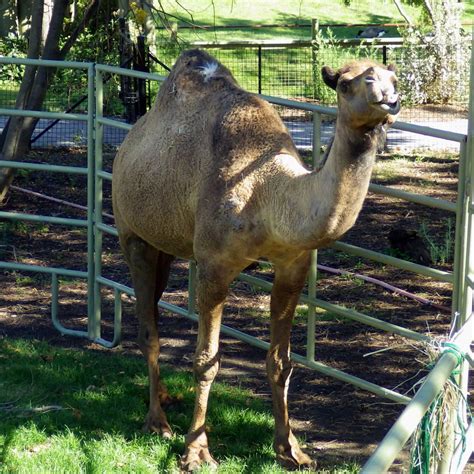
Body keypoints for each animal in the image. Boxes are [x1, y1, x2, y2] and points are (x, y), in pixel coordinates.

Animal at [111, 50, 400, 472]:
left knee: (155, 308)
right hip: (132, 232)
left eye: (393, 78)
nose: (389, 99)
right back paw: (157, 422)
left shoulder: (293, 266)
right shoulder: (214, 266)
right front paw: (196, 451)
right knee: (149, 329)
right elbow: (207, 360)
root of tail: (126, 143)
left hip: (163, 244)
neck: (266, 191)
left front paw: (291, 449)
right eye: (346, 83)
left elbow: (281, 361)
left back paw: (164, 396)